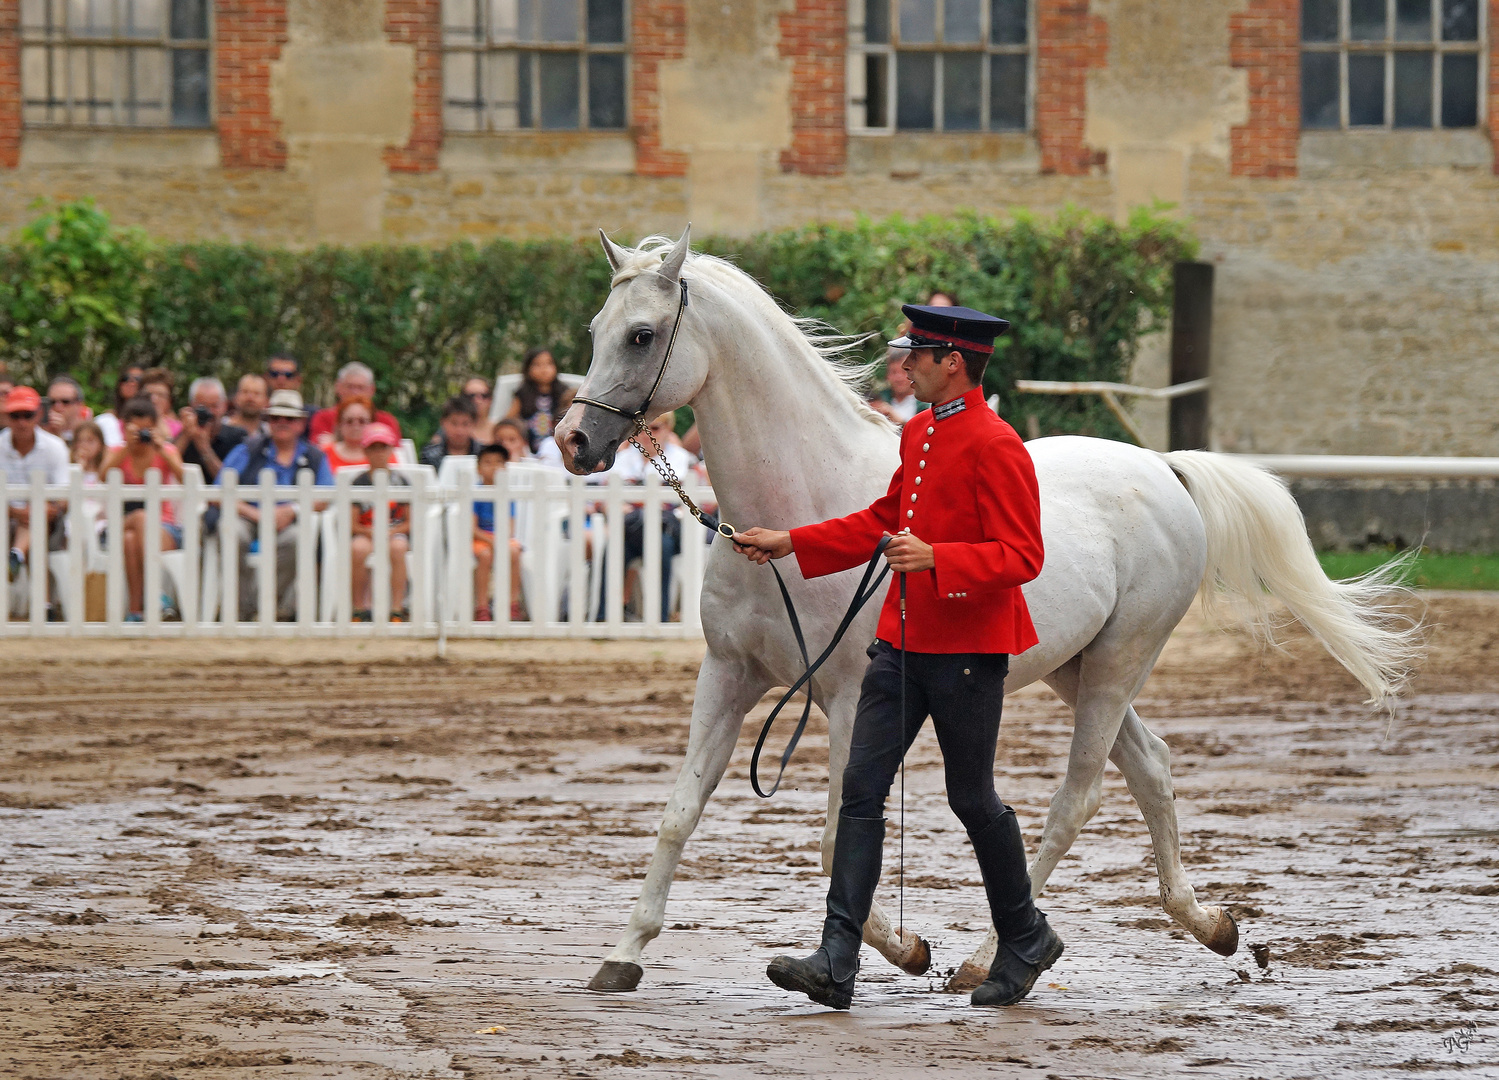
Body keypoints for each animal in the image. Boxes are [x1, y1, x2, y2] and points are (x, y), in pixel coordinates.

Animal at [554, 228, 1415, 996]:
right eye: (594, 329)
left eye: (640, 334)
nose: (572, 441)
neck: (801, 502)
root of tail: (1163, 469)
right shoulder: (729, 676)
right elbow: (679, 812)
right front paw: (622, 956)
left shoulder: (844, 696)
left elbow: (837, 834)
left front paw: (900, 950)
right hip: (1074, 666)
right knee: (1152, 766)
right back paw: (1211, 927)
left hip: (1119, 661)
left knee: (1077, 798)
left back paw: (985, 958)